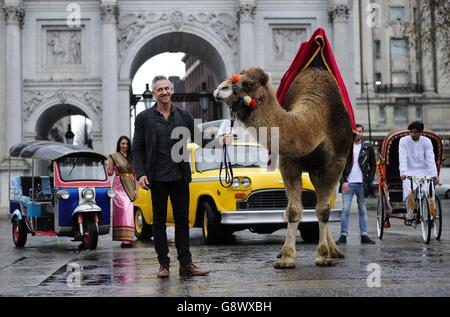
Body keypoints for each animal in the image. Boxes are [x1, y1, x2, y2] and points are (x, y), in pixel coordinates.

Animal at [213, 66, 354, 266]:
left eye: (248, 83)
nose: (220, 89)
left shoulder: (337, 162)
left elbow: (324, 210)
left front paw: (323, 256)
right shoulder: (288, 163)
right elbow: (293, 211)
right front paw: (286, 258)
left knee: (322, 204)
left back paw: (333, 251)